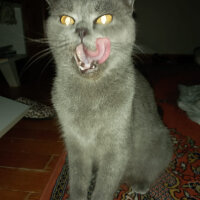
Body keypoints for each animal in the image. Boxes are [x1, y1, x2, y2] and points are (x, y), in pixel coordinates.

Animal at [45, 0, 172, 199]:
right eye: (66, 19)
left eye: (105, 19)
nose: (81, 30)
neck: (89, 97)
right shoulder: (75, 144)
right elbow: (77, 180)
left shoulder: (117, 148)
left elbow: (105, 185)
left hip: (159, 143)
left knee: (152, 168)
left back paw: (140, 185)